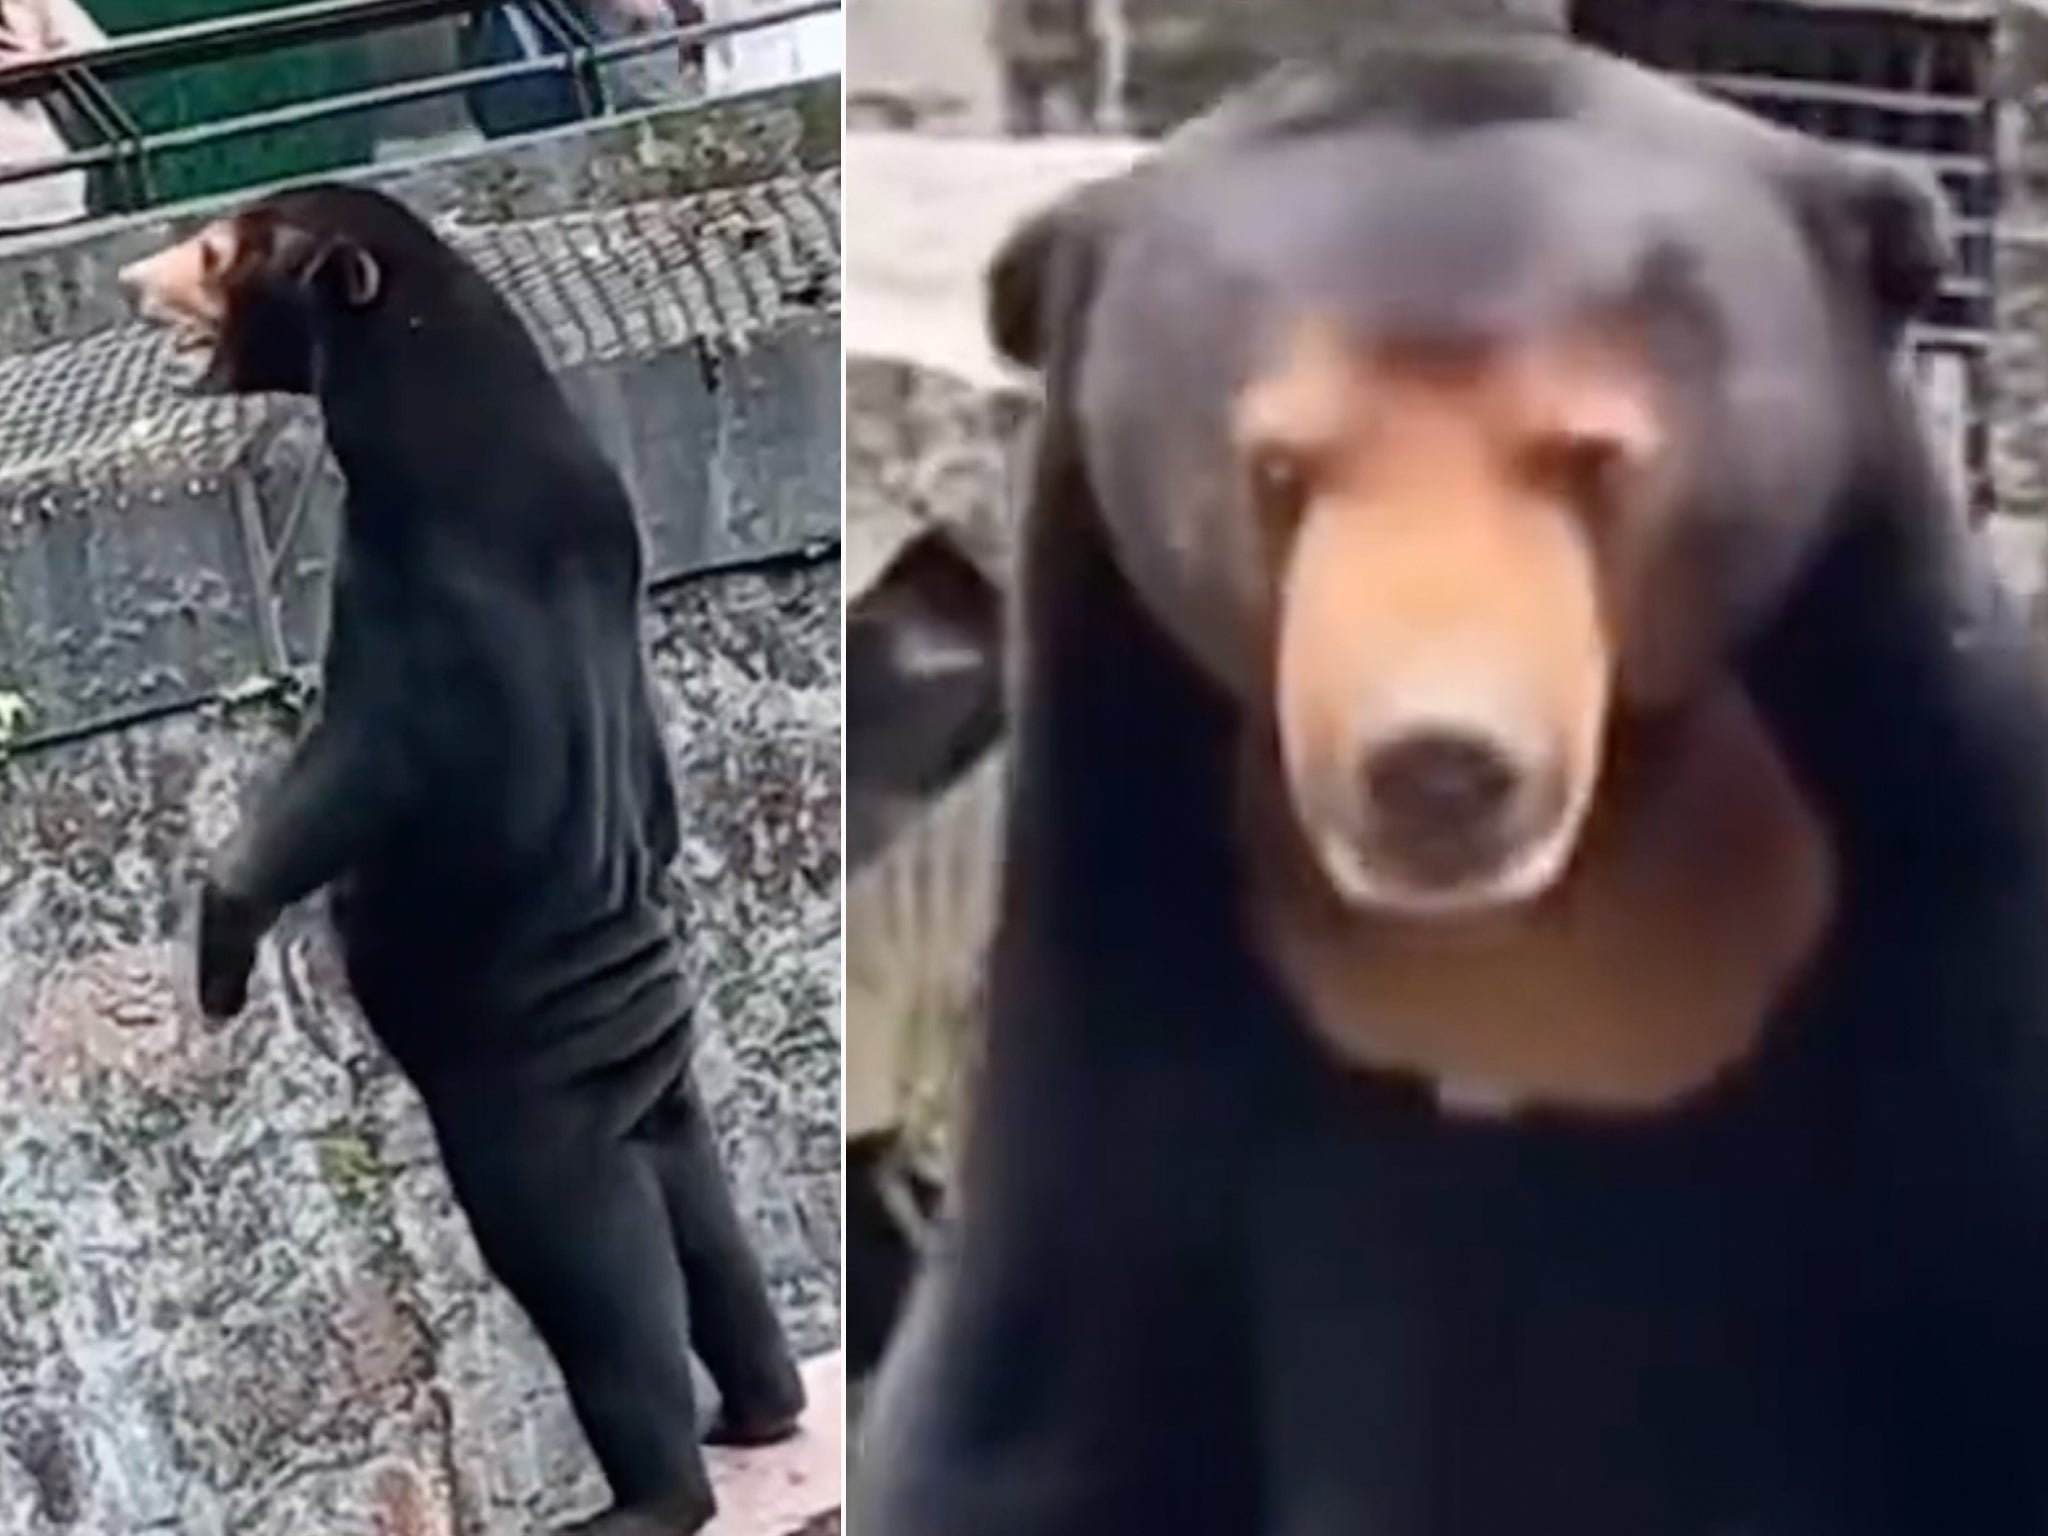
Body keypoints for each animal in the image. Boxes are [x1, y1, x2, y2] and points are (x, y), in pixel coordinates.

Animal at [116, 183, 806, 1536]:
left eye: (218, 250)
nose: (128, 277)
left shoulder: (421, 602)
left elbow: (341, 783)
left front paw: (219, 967)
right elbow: (651, 788)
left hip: (525, 1108)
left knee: (590, 1274)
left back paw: (652, 1496)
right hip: (667, 1101)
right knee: (708, 1225)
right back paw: (765, 1407)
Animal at [852, 34, 2048, 1536]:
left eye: (1590, 460)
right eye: (1279, 471)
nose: (1436, 764)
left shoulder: (1953, 924)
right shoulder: (1111, 1031)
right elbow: (1022, 1438)